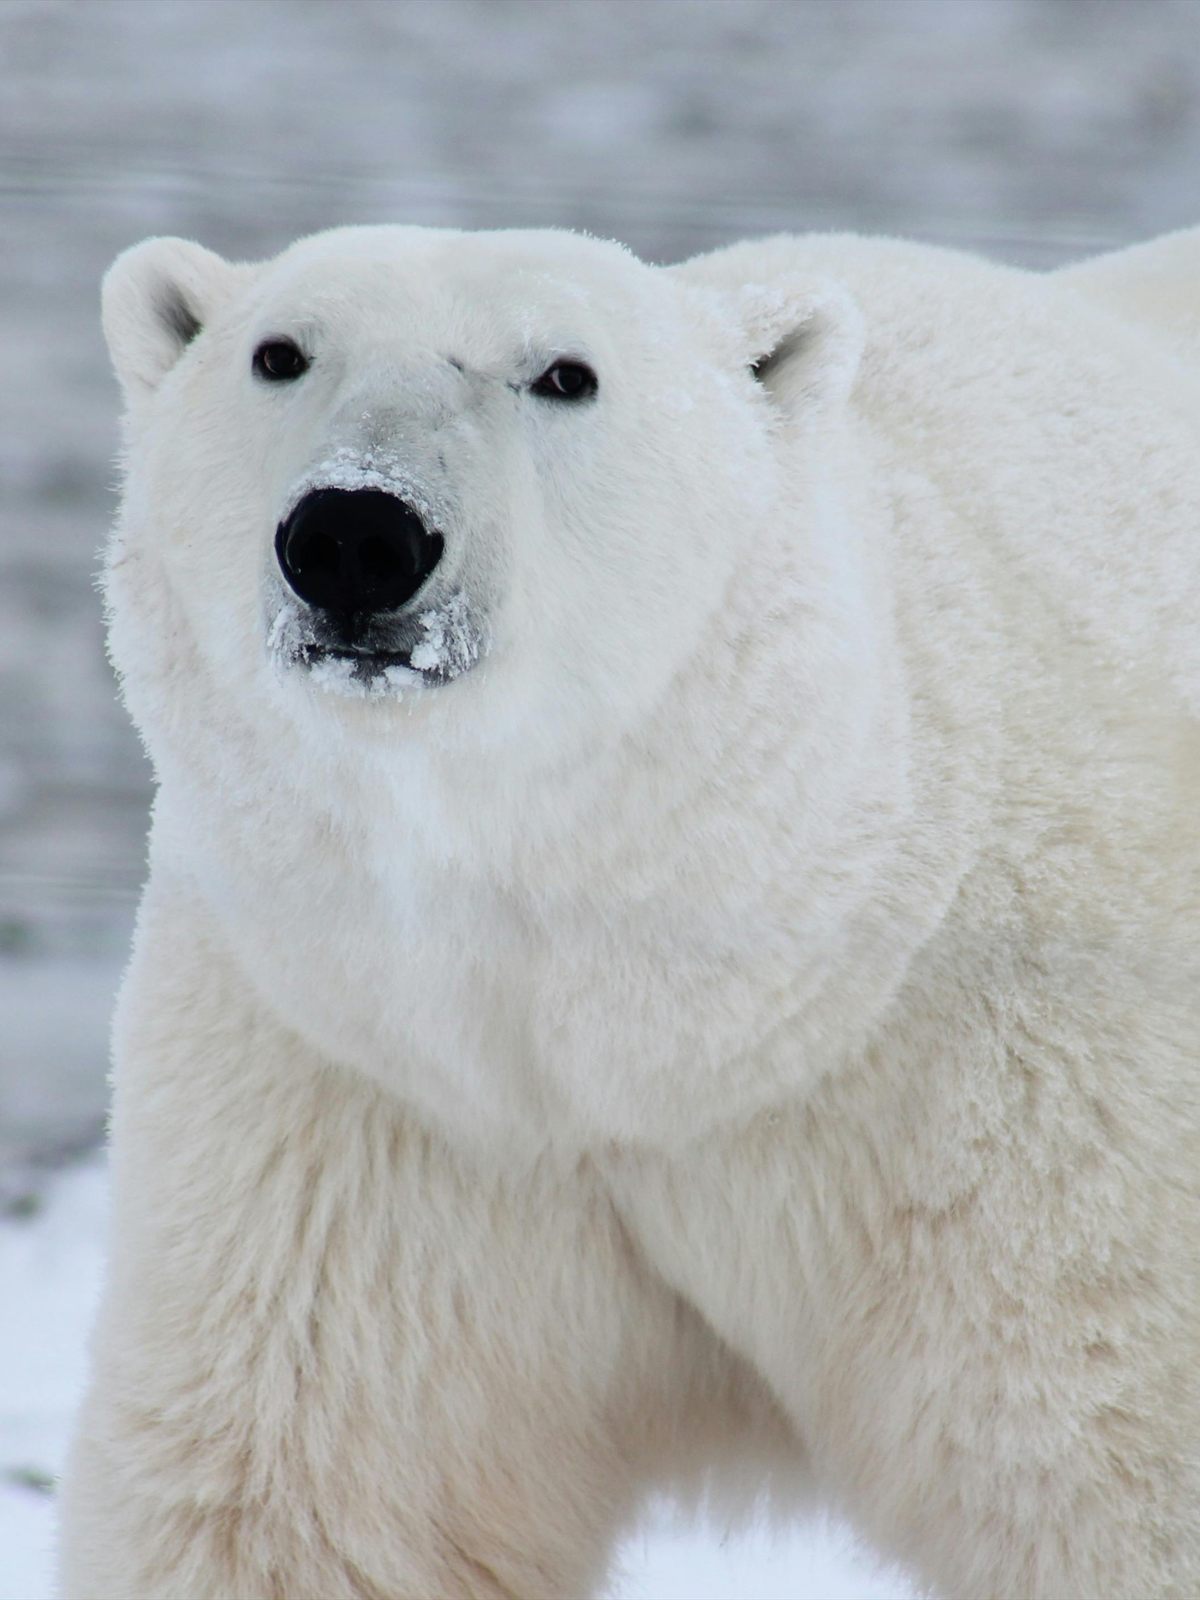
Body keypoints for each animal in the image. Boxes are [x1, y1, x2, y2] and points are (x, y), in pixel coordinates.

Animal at [58, 222, 1199, 1600]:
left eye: (564, 373)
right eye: (279, 352)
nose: (355, 533)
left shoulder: (1030, 1105)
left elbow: (1108, 1459)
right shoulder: (362, 1095)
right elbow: (308, 1494)